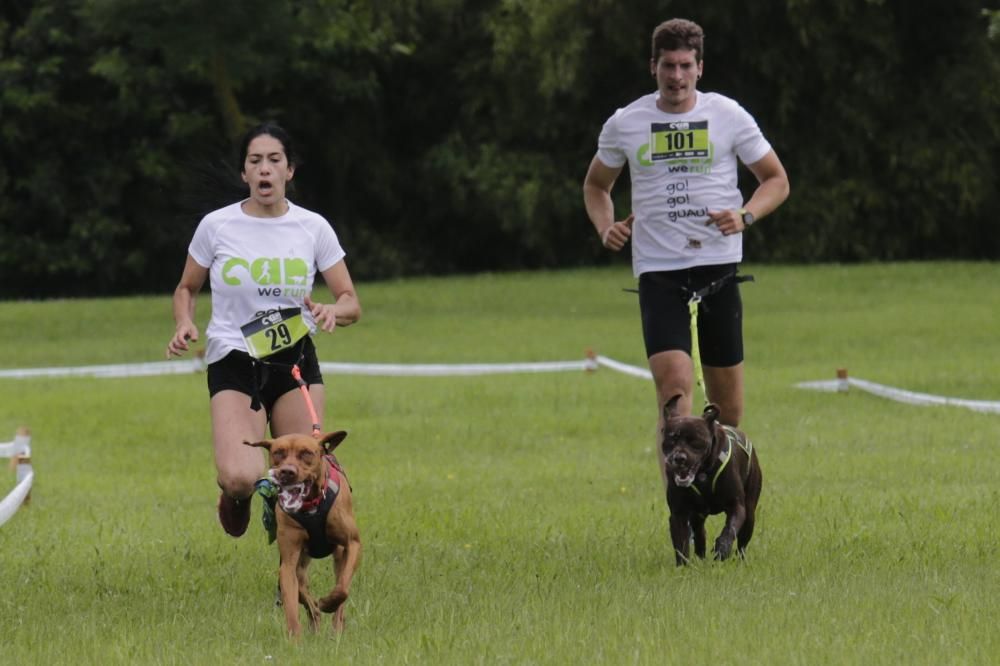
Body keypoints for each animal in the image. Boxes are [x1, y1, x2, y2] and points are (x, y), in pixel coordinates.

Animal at [245, 428, 362, 636]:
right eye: (278, 453)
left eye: (306, 453)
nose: (287, 472)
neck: (311, 506)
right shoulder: (289, 561)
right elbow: (292, 604)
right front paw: (295, 638)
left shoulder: (353, 543)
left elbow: (342, 589)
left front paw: (328, 603)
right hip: (300, 564)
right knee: (302, 592)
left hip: (340, 555)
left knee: (340, 585)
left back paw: (336, 625)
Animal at [660, 394, 760, 564]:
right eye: (671, 440)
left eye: (695, 441)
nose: (679, 458)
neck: (702, 476)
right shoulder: (678, 513)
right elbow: (681, 544)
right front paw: (684, 566)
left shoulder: (737, 505)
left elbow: (730, 529)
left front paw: (722, 549)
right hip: (697, 516)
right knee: (700, 533)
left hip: (750, 513)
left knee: (742, 544)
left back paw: (740, 561)